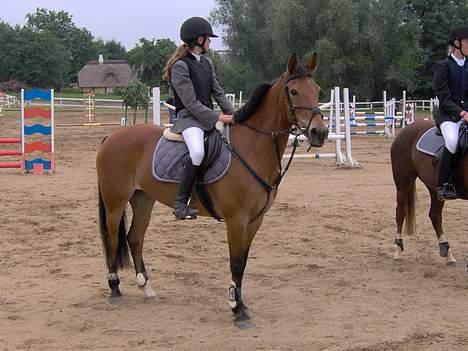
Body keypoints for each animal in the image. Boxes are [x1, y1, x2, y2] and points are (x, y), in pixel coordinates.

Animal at [97, 53, 328, 328]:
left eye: (318, 90)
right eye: (293, 91)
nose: (319, 132)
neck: (252, 147)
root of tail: (112, 137)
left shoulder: (255, 220)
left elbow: (244, 263)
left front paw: (241, 304)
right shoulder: (236, 219)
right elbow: (236, 263)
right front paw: (237, 310)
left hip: (143, 200)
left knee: (135, 238)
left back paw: (147, 288)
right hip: (115, 202)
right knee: (112, 238)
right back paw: (115, 288)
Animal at [390, 119, 466, 266]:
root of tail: (408, 127)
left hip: (434, 188)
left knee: (435, 215)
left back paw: (448, 253)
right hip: (403, 183)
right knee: (400, 213)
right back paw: (397, 250)